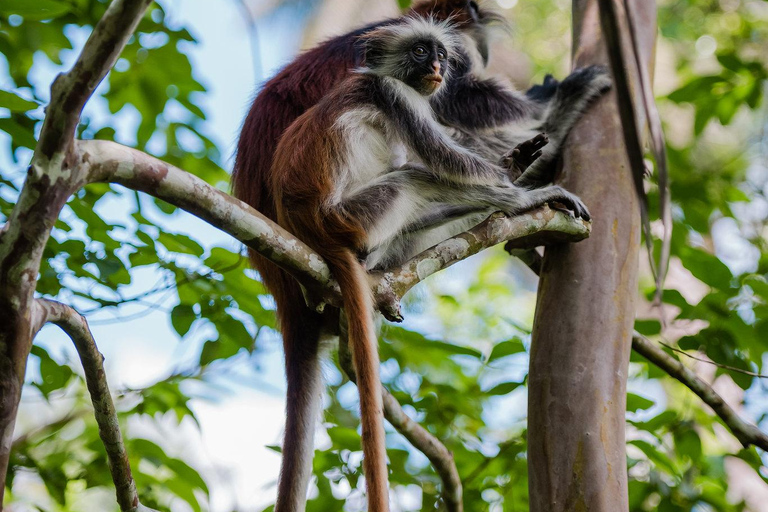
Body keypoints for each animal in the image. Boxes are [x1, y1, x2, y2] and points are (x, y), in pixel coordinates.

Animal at [268, 17, 588, 512]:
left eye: (439, 54)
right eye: (420, 52)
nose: (437, 67)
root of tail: (312, 233)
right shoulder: (397, 96)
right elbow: (446, 160)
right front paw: (534, 180)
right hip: (356, 218)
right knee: (415, 176)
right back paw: (516, 201)